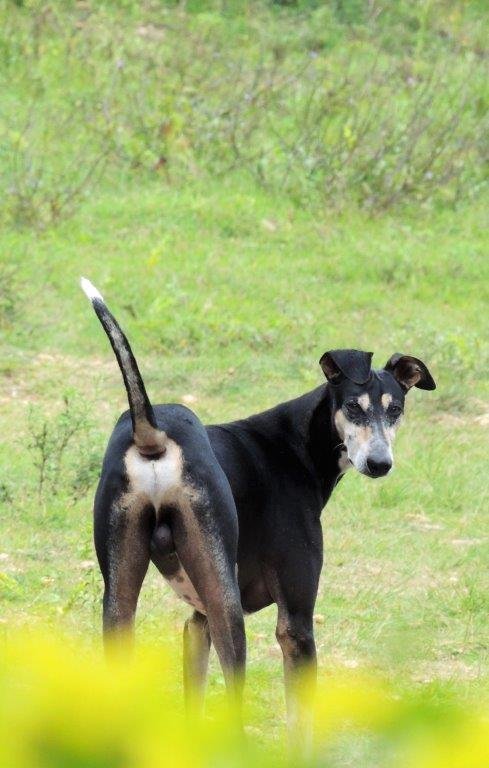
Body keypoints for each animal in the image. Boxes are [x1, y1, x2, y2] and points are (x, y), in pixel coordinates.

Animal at [81, 278, 435, 727]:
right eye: (354, 406)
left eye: (396, 410)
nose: (379, 464)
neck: (295, 446)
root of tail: (154, 434)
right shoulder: (295, 626)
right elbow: (300, 725)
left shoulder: (197, 624)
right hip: (227, 609)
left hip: (122, 606)